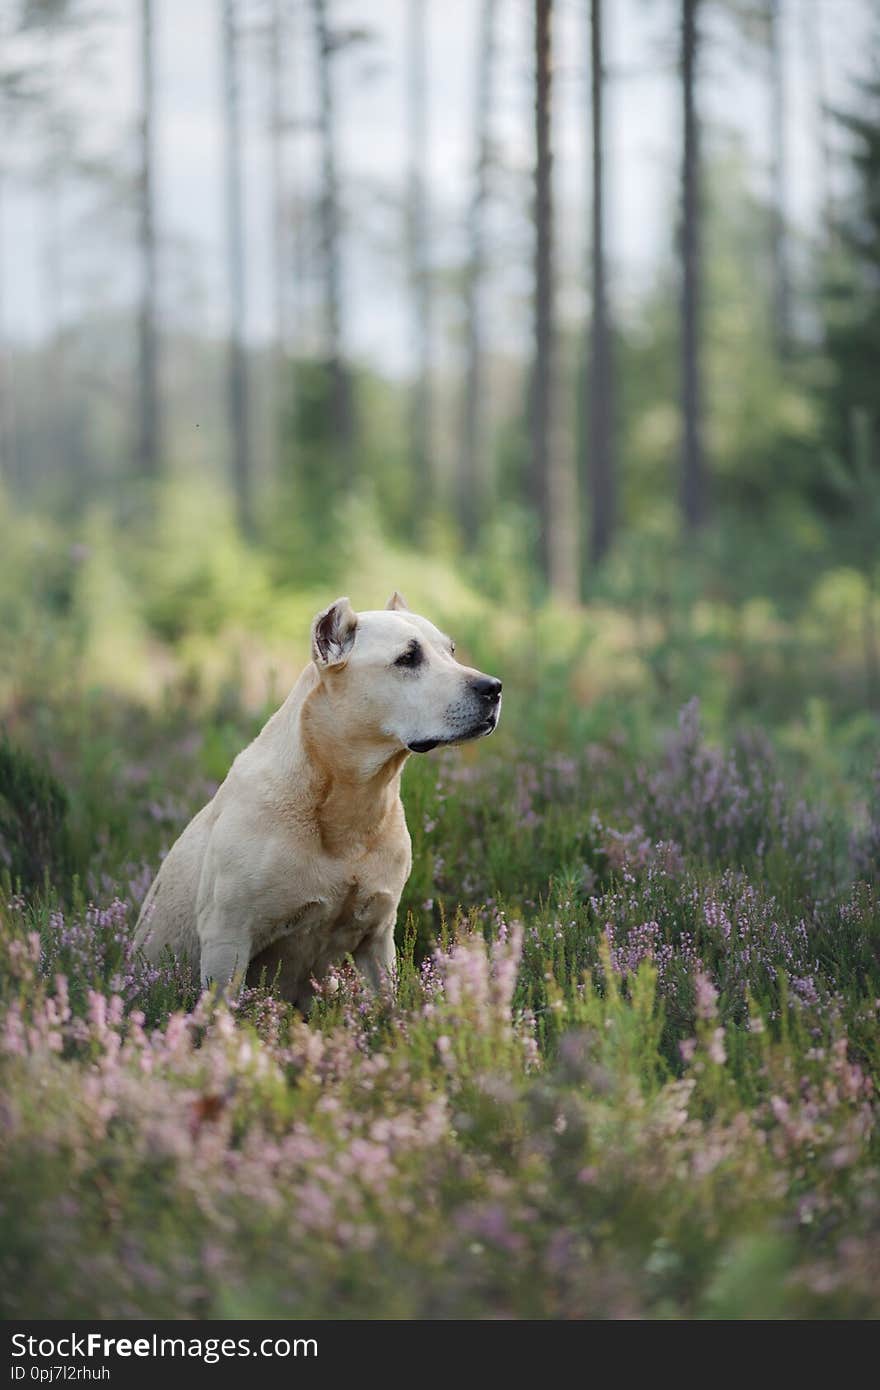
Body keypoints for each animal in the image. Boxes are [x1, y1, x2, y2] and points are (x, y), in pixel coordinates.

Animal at [132, 592, 500, 1006]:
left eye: (450, 651)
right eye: (408, 658)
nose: (493, 687)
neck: (349, 798)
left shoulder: (377, 938)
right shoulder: (227, 940)